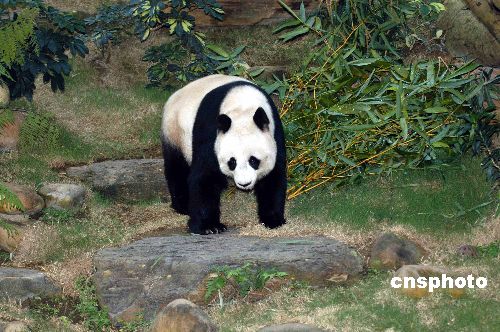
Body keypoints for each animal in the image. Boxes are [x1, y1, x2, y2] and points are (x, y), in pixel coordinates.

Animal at [160, 74, 286, 235]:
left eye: (253, 160)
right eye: (232, 162)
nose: (244, 184)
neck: (243, 107)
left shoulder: (274, 133)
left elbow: (273, 177)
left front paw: (273, 220)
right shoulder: (211, 132)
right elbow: (206, 176)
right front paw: (209, 226)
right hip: (175, 131)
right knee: (177, 168)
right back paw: (183, 206)